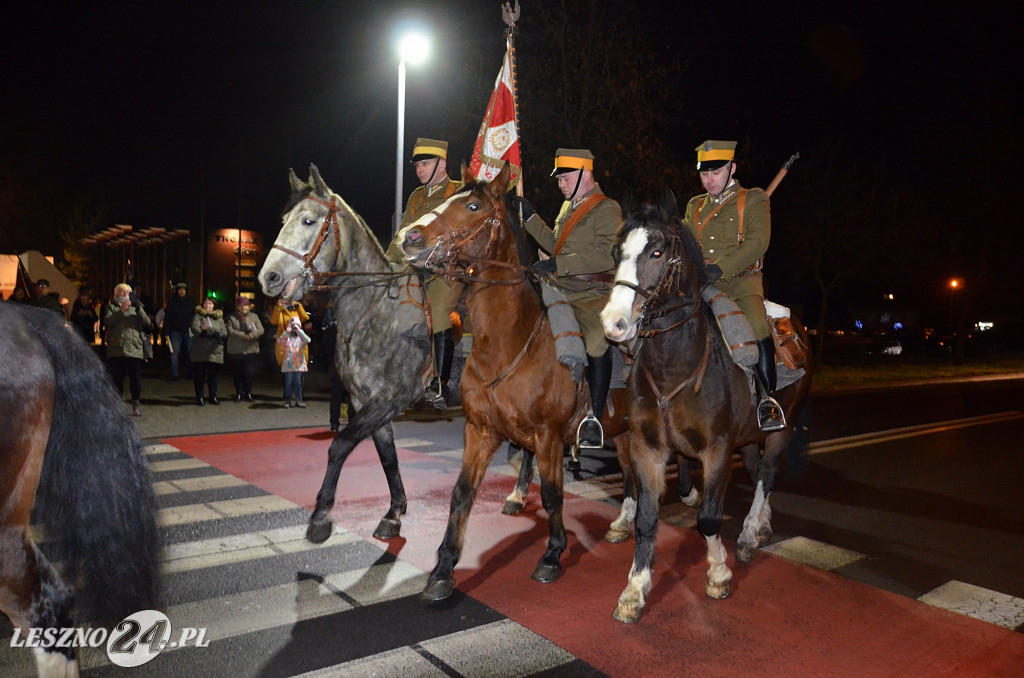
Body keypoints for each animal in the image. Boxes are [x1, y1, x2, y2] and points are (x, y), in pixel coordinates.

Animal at [260, 166, 432, 544]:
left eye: (309, 220)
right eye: (283, 220)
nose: (268, 277)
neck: (376, 310)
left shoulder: (389, 399)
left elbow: (339, 444)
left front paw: (321, 514)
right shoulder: (363, 399)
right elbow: (388, 456)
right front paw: (394, 512)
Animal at [399, 164, 630, 602]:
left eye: (473, 206)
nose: (409, 237)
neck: (508, 343)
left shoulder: (549, 436)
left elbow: (554, 496)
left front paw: (553, 554)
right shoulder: (480, 430)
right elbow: (462, 493)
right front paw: (443, 567)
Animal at [598, 191, 806, 626]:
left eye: (657, 251)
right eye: (616, 251)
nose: (614, 324)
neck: (676, 362)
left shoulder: (718, 449)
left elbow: (709, 518)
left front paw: (718, 573)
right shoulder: (647, 447)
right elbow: (646, 518)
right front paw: (634, 591)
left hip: (784, 427)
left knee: (768, 475)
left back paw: (748, 534)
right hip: (750, 436)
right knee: (758, 472)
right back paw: (761, 525)